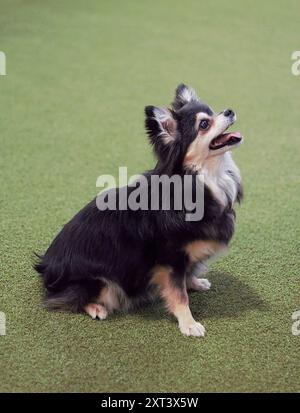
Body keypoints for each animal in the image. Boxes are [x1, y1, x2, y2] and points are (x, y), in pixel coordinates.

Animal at [34, 83, 244, 334]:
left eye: (213, 111)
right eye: (204, 124)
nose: (229, 111)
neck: (205, 177)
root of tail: (46, 265)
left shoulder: (182, 258)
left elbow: (185, 278)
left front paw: (195, 283)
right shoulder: (170, 258)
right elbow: (178, 293)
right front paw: (189, 323)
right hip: (102, 281)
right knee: (70, 298)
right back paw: (96, 308)